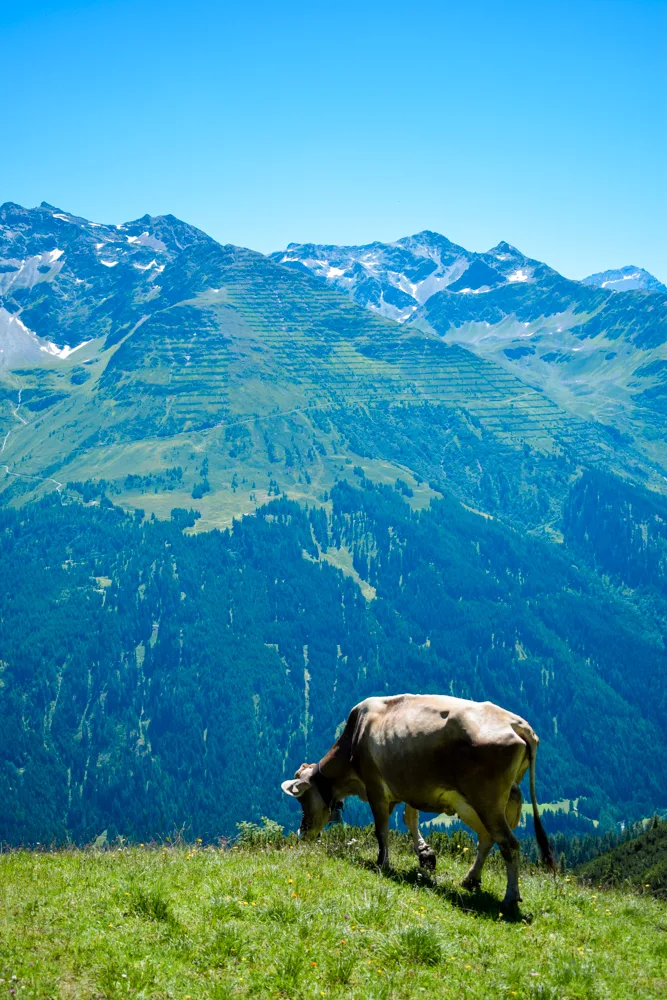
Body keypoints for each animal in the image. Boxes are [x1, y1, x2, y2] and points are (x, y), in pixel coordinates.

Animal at [280, 692, 556, 912]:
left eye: (303, 799)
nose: (301, 833)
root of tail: (516, 724)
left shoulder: (375, 787)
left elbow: (382, 828)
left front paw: (383, 862)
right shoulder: (411, 786)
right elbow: (409, 818)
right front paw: (425, 855)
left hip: (486, 800)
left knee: (508, 843)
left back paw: (510, 899)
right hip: (484, 801)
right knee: (488, 838)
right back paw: (471, 879)